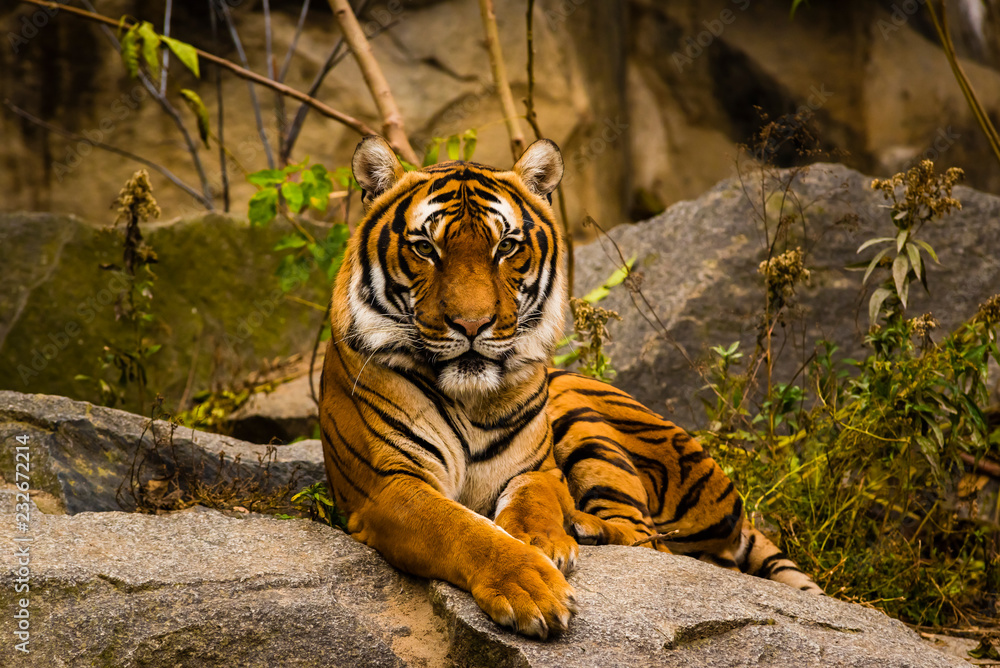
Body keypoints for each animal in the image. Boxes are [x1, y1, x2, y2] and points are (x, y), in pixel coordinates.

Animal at [320, 136, 820, 640]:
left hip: (581, 417)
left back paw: (581, 524)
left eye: (506, 246)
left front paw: (542, 540)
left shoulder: (538, 469)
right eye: (425, 248)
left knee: (649, 538)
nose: (472, 324)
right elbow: (463, 529)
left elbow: (535, 498)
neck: (470, 397)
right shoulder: (389, 485)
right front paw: (530, 586)